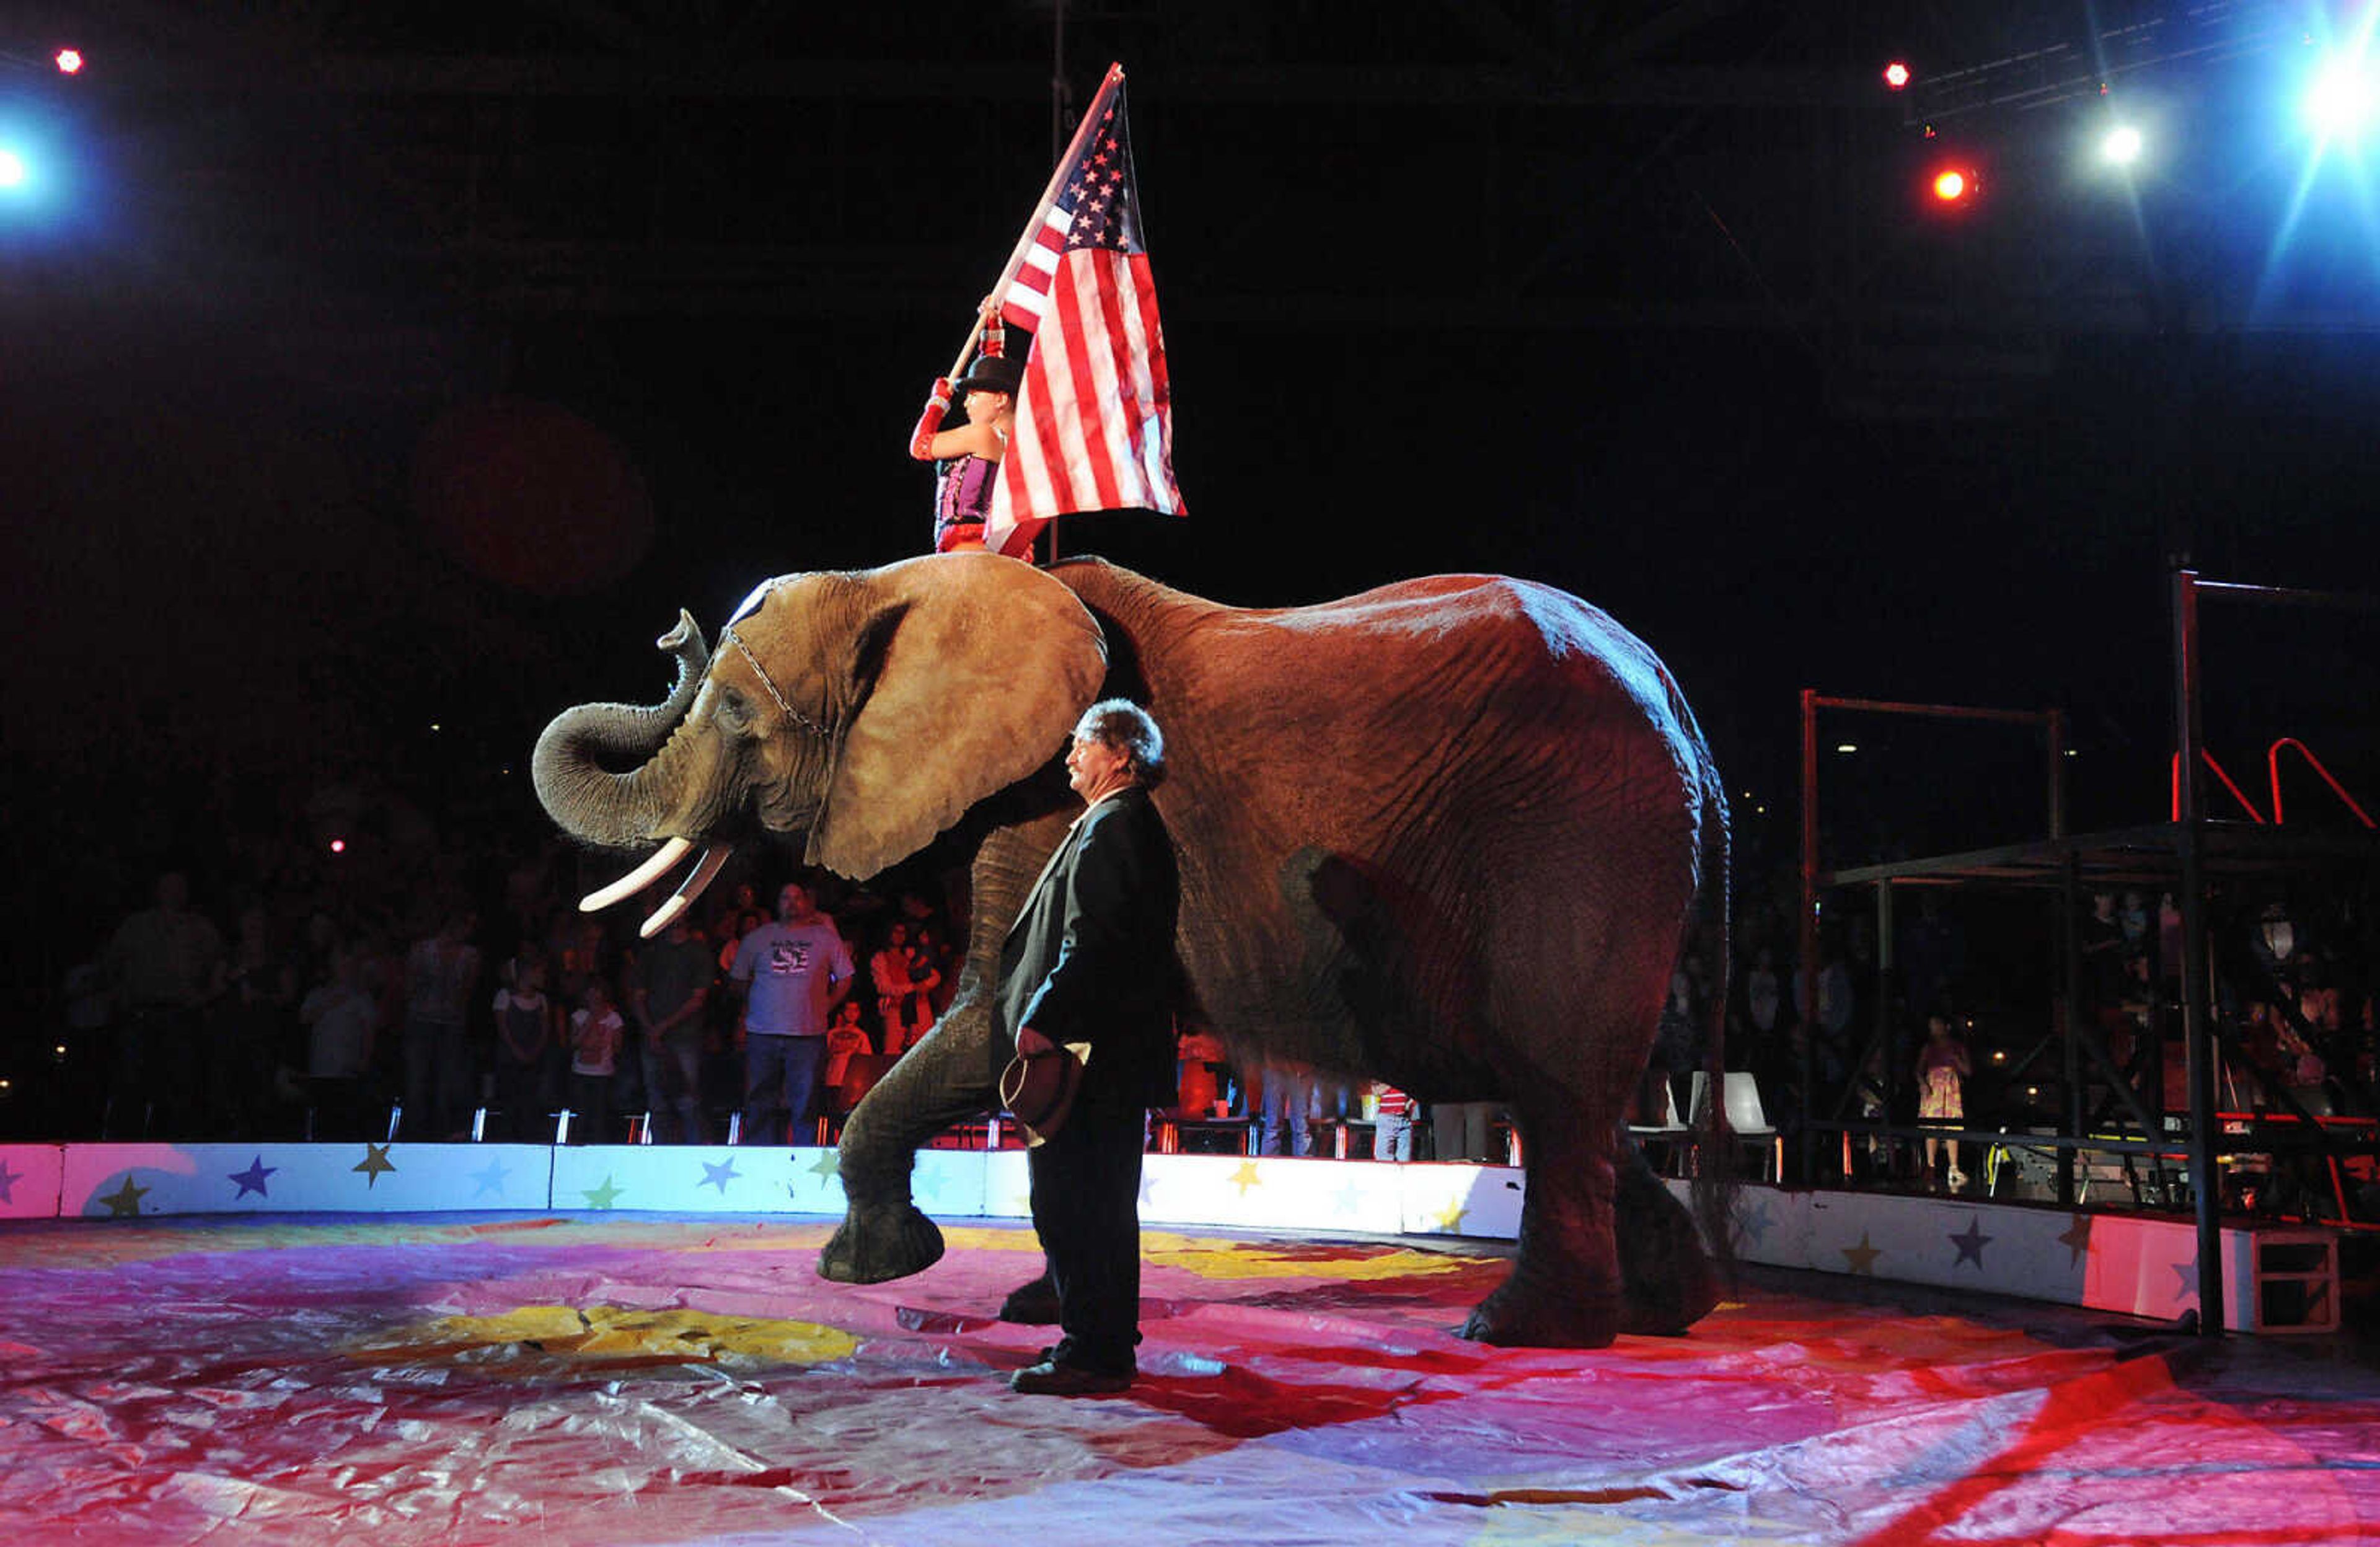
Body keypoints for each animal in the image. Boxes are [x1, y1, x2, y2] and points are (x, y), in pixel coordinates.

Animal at [540, 547, 1732, 1342]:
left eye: (740, 715)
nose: (671, 634)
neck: (905, 583)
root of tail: (1679, 699)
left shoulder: (1035, 795)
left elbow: (999, 1011)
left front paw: (868, 1271)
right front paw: (1032, 1305)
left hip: (1577, 838)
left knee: (1554, 1081)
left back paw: (1522, 1328)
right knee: (1570, 1093)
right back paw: (1673, 1307)